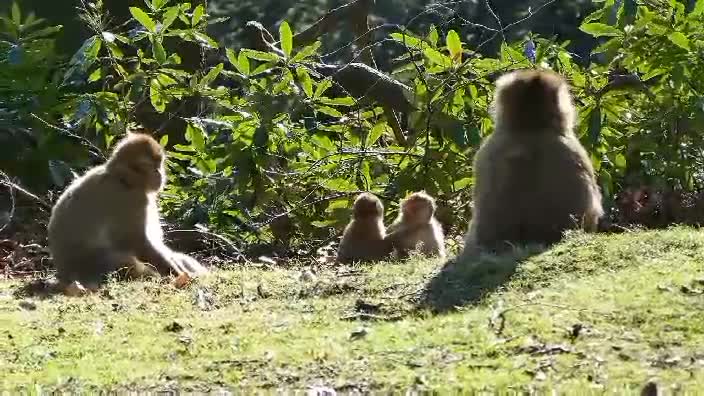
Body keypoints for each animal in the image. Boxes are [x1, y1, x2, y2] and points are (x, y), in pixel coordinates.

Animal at [46, 131, 205, 290]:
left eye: (159, 164)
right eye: (151, 166)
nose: (160, 174)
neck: (124, 179)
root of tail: (64, 275)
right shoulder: (131, 200)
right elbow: (135, 240)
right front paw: (178, 275)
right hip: (96, 266)